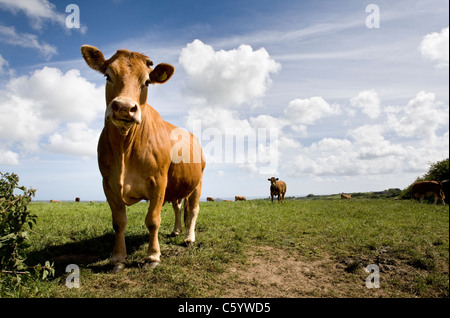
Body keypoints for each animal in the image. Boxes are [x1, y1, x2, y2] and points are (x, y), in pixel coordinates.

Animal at [81, 45, 206, 274]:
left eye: (146, 82)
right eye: (107, 75)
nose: (124, 107)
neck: (125, 147)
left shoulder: (159, 182)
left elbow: (153, 220)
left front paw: (153, 256)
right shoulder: (108, 184)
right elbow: (119, 222)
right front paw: (118, 259)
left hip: (197, 182)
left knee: (192, 210)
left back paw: (188, 238)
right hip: (177, 185)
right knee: (178, 207)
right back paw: (176, 231)